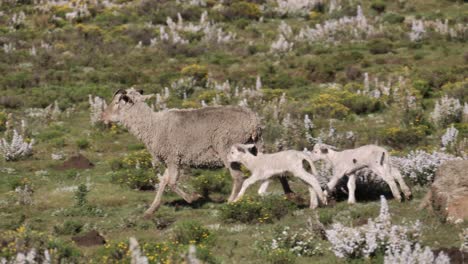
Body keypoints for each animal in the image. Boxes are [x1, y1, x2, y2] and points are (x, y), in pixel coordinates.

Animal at [101, 88, 290, 217]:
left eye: (118, 102)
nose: (103, 116)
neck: (152, 125)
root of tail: (253, 121)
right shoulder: (171, 160)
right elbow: (163, 182)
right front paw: (151, 209)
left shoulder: (173, 157)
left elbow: (171, 183)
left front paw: (193, 197)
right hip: (257, 145)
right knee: (275, 166)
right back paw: (289, 194)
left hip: (227, 148)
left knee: (237, 177)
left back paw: (230, 202)